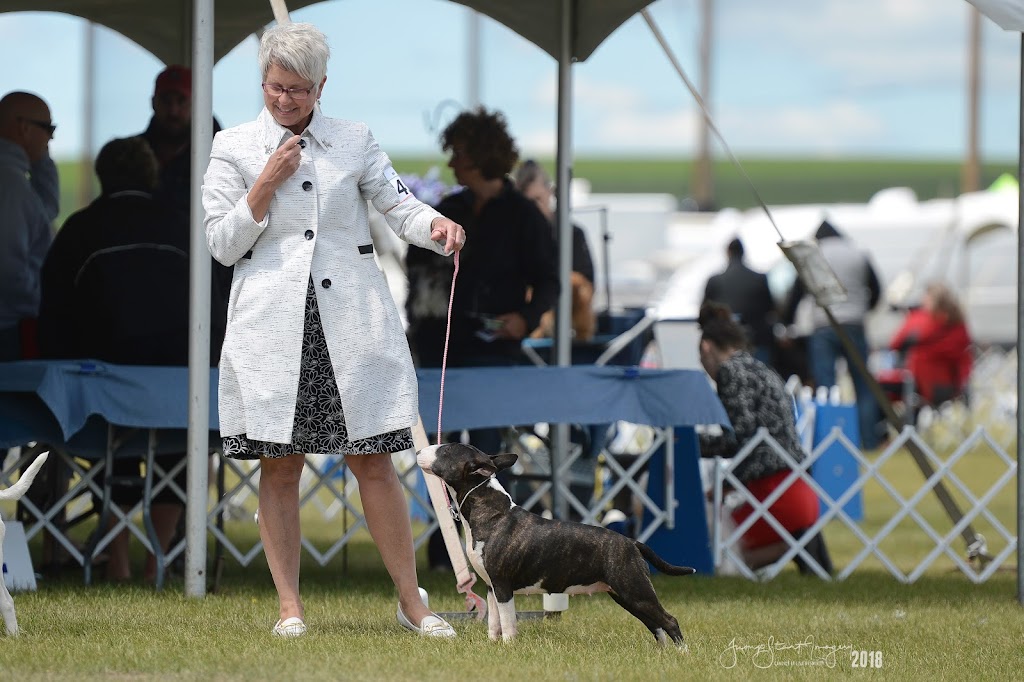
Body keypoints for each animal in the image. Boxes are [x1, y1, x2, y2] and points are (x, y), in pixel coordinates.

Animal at [415, 440, 696, 643]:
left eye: (446, 450)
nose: (416, 450)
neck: (487, 510)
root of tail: (632, 542)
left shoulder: (503, 585)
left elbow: (507, 621)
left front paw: (508, 646)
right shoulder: (490, 586)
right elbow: (494, 621)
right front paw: (493, 644)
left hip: (635, 589)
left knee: (669, 621)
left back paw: (682, 655)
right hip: (625, 595)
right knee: (655, 625)